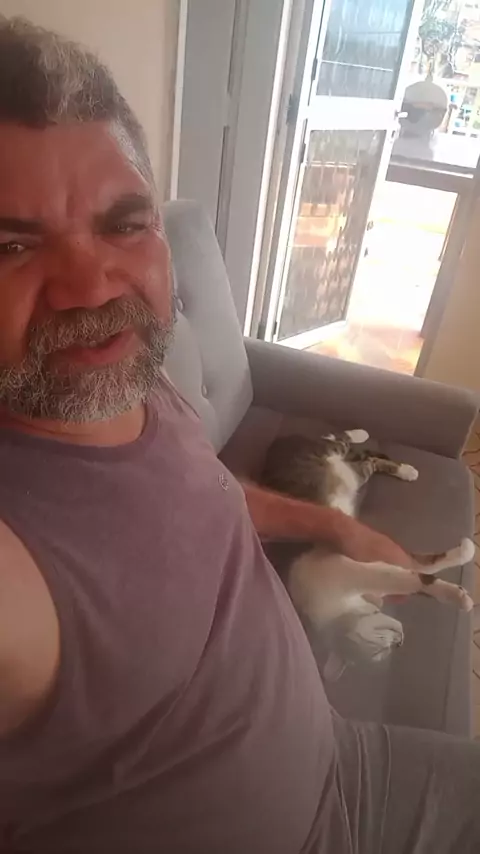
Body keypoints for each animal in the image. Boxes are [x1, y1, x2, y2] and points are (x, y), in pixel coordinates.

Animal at [260, 429, 474, 655]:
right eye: (381, 649)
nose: (399, 642)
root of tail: (279, 443)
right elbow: (412, 573)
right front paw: (454, 592)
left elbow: (418, 568)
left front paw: (464, 556)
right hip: (354, 474)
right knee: (367, 460)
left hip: (336, 456)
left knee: (346, 443)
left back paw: (372, 444)